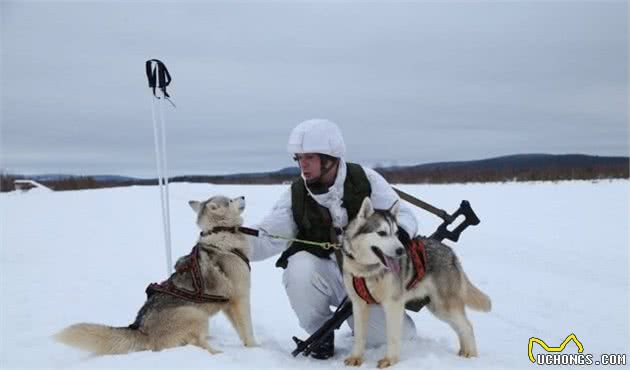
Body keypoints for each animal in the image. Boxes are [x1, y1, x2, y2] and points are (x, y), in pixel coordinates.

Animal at [55, 197, 256, 356]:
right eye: (230, 200)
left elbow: (240, 330)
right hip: (195, 313)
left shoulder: (229, 304)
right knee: (196, 342)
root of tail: (141, 329)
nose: (243, 196)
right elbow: (247, 329)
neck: (221, 234)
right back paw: (216, 353)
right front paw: (255, 347)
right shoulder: (240, 298)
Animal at [344, 197, 492, 368]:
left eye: (396, 233)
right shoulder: (358, 305)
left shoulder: (393, 305)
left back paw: (471, 355)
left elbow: (392, 336)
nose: (401, 251)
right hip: (438, 308)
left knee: (467, 326)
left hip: (445, 305)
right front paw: (356, 357)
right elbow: (359, 336)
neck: (368, 271)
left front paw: (390, 360)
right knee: (460, 327)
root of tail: (450, 253)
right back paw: (463, 351)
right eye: (381, 233)